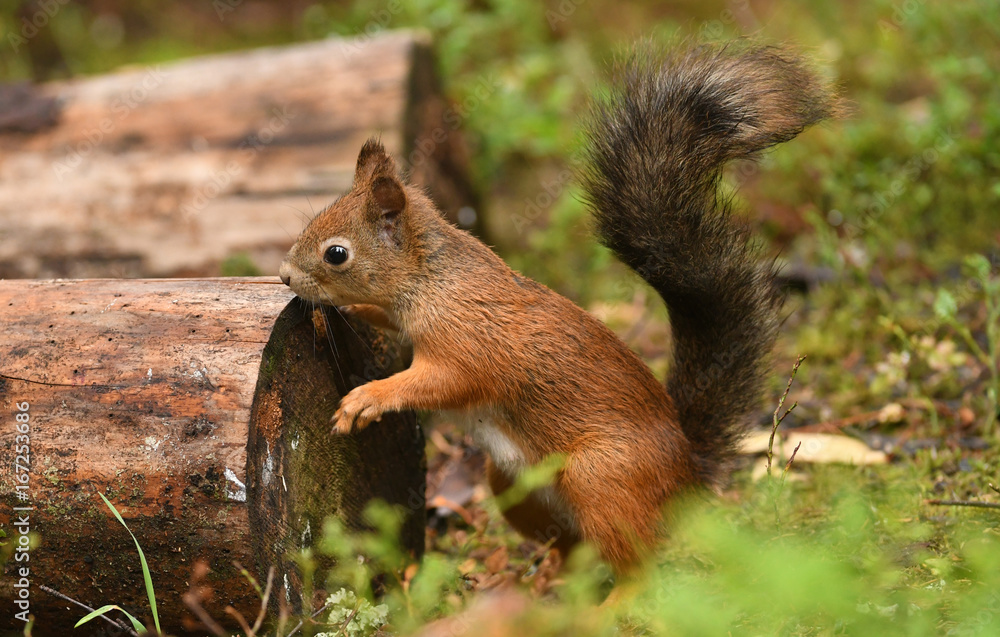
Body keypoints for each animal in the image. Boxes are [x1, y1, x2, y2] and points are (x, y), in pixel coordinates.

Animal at [278, 42, 832, 572]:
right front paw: (353, 315)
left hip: (600, 479)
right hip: (513, 488)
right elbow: (386, 318)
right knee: (573, 551)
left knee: (639, 569)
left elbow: (443, 381)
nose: (285, 275)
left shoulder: (469, 341)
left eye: (336, 254)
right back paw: (549, 587)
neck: (435, 279)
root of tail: (685, 476)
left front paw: (367, 398)